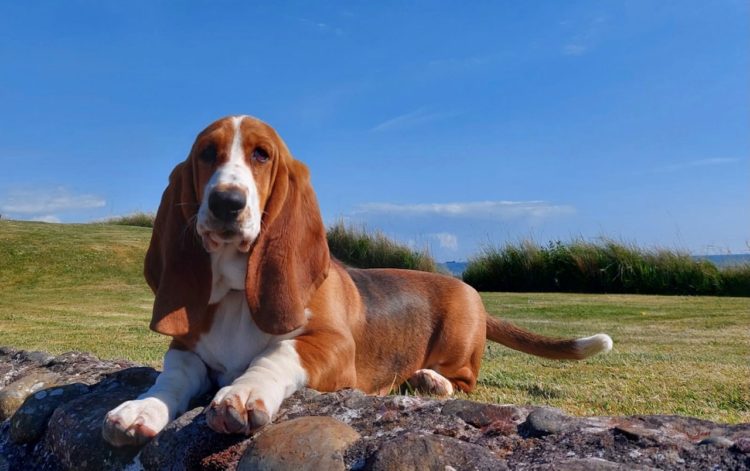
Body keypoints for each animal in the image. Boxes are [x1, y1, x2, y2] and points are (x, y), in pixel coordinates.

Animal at [103, 116, 612, 448]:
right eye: (207, 154)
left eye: (261, 155)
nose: (227, 202)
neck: (234, 292)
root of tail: (471, 292)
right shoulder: (186, 349)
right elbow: (173, 376)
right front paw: (140, 408)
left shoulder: (332, 347)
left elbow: (276, 353)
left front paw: (244, 391)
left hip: (459, 342)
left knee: (465, 380)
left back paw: (432, 381)